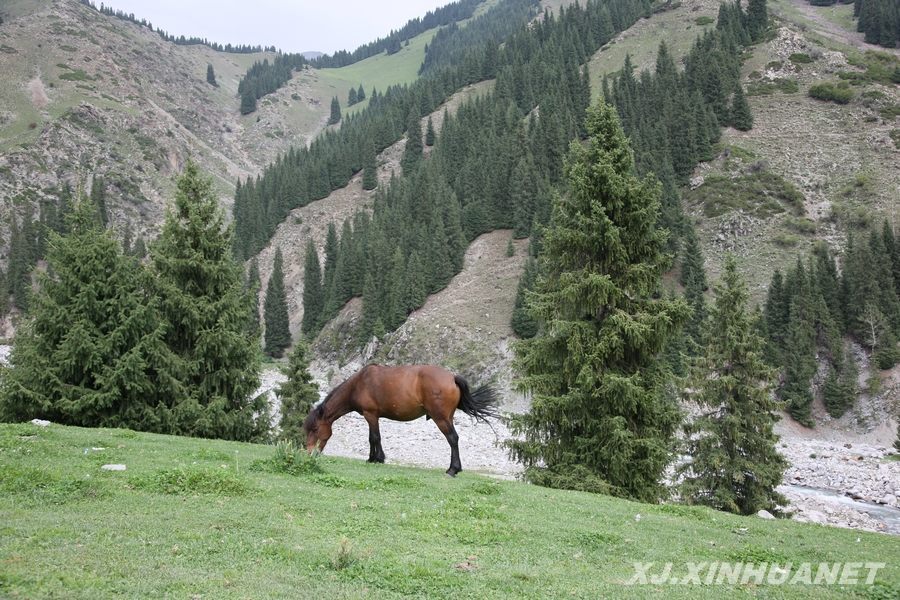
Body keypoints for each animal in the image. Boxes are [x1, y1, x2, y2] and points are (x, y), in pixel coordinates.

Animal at [302, 364, 500, 476]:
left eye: (314, 429)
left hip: (441, 419)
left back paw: (453, 469)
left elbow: (374, 438)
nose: (309, 453)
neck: (359, 383)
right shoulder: (372, 416)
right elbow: (372, 438)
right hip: (447, 417)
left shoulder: (370, 414)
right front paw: (373, 458)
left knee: (453, 439)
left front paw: (377, 458)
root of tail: (452, 377)